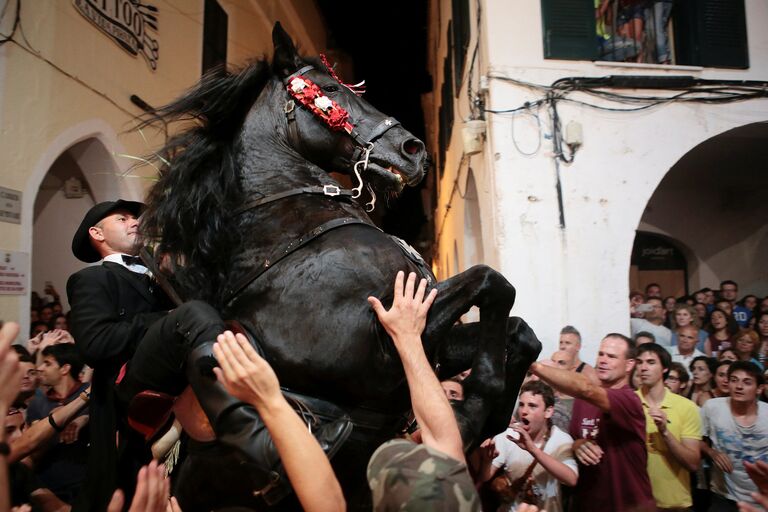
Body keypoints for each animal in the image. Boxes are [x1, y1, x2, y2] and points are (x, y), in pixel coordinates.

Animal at [141, 22, 544, 510]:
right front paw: (479, 399)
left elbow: (519, 327)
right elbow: (492, 281)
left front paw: (493, 414)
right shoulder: (378, 349)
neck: (293, 230)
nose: (413, 149)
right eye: (331, 90)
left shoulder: (427, 337)